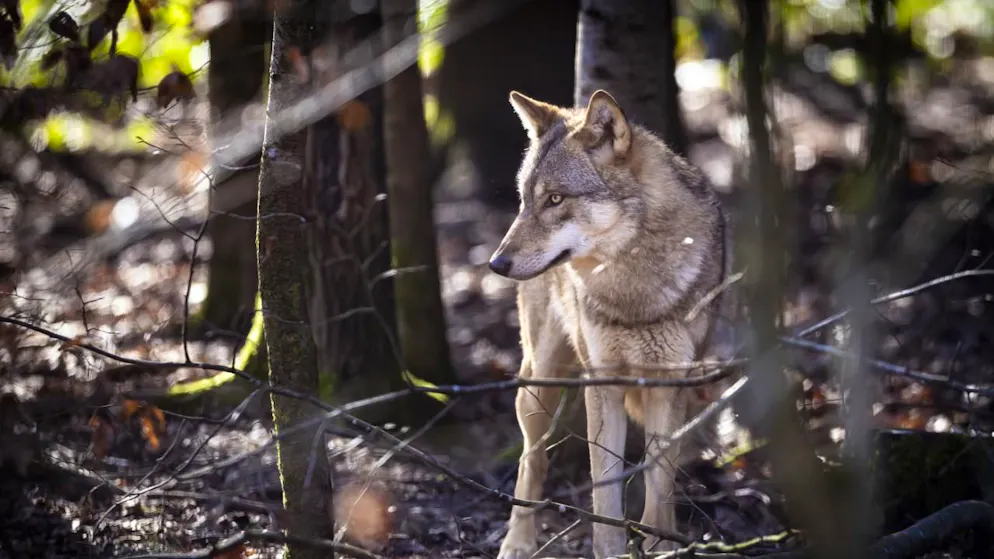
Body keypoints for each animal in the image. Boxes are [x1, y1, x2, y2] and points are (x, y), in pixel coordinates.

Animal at [489, 89, 730, 558]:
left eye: (555, 199)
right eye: (525, 199)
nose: (496, 264)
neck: (633, 290)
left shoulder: (668, 384)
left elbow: (659, 481)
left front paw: (660, 543)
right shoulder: (602, 384)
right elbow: (604, 485)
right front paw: (611, 548)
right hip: (538, 383)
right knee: (532, 457)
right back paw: (518, 542)